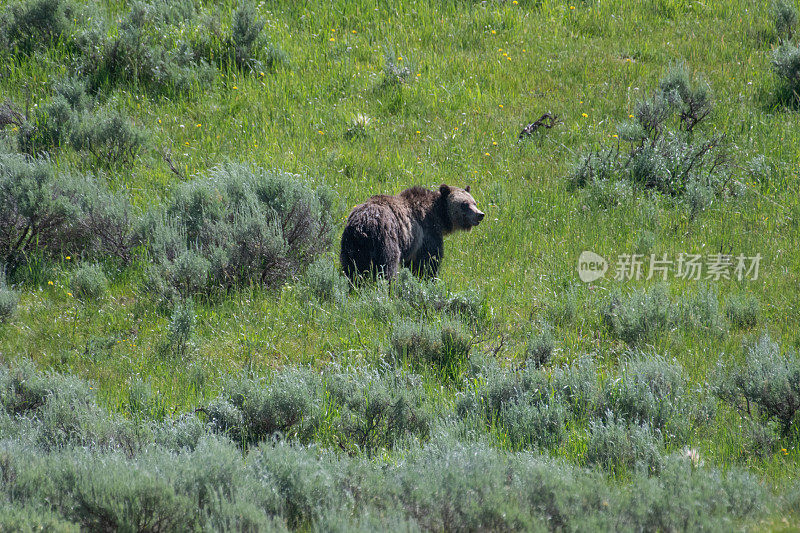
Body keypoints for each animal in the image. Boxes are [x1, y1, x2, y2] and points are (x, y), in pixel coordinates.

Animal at [340, 184, 484, 282]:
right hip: (386, 239)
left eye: (474, 202)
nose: (480, 214)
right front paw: (428, 278)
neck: (439, 215)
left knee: (352, 269)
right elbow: (429, 260)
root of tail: (363, 224)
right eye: (464, 204)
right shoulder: (427, 232)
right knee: (387, 267)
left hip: (352, 246)